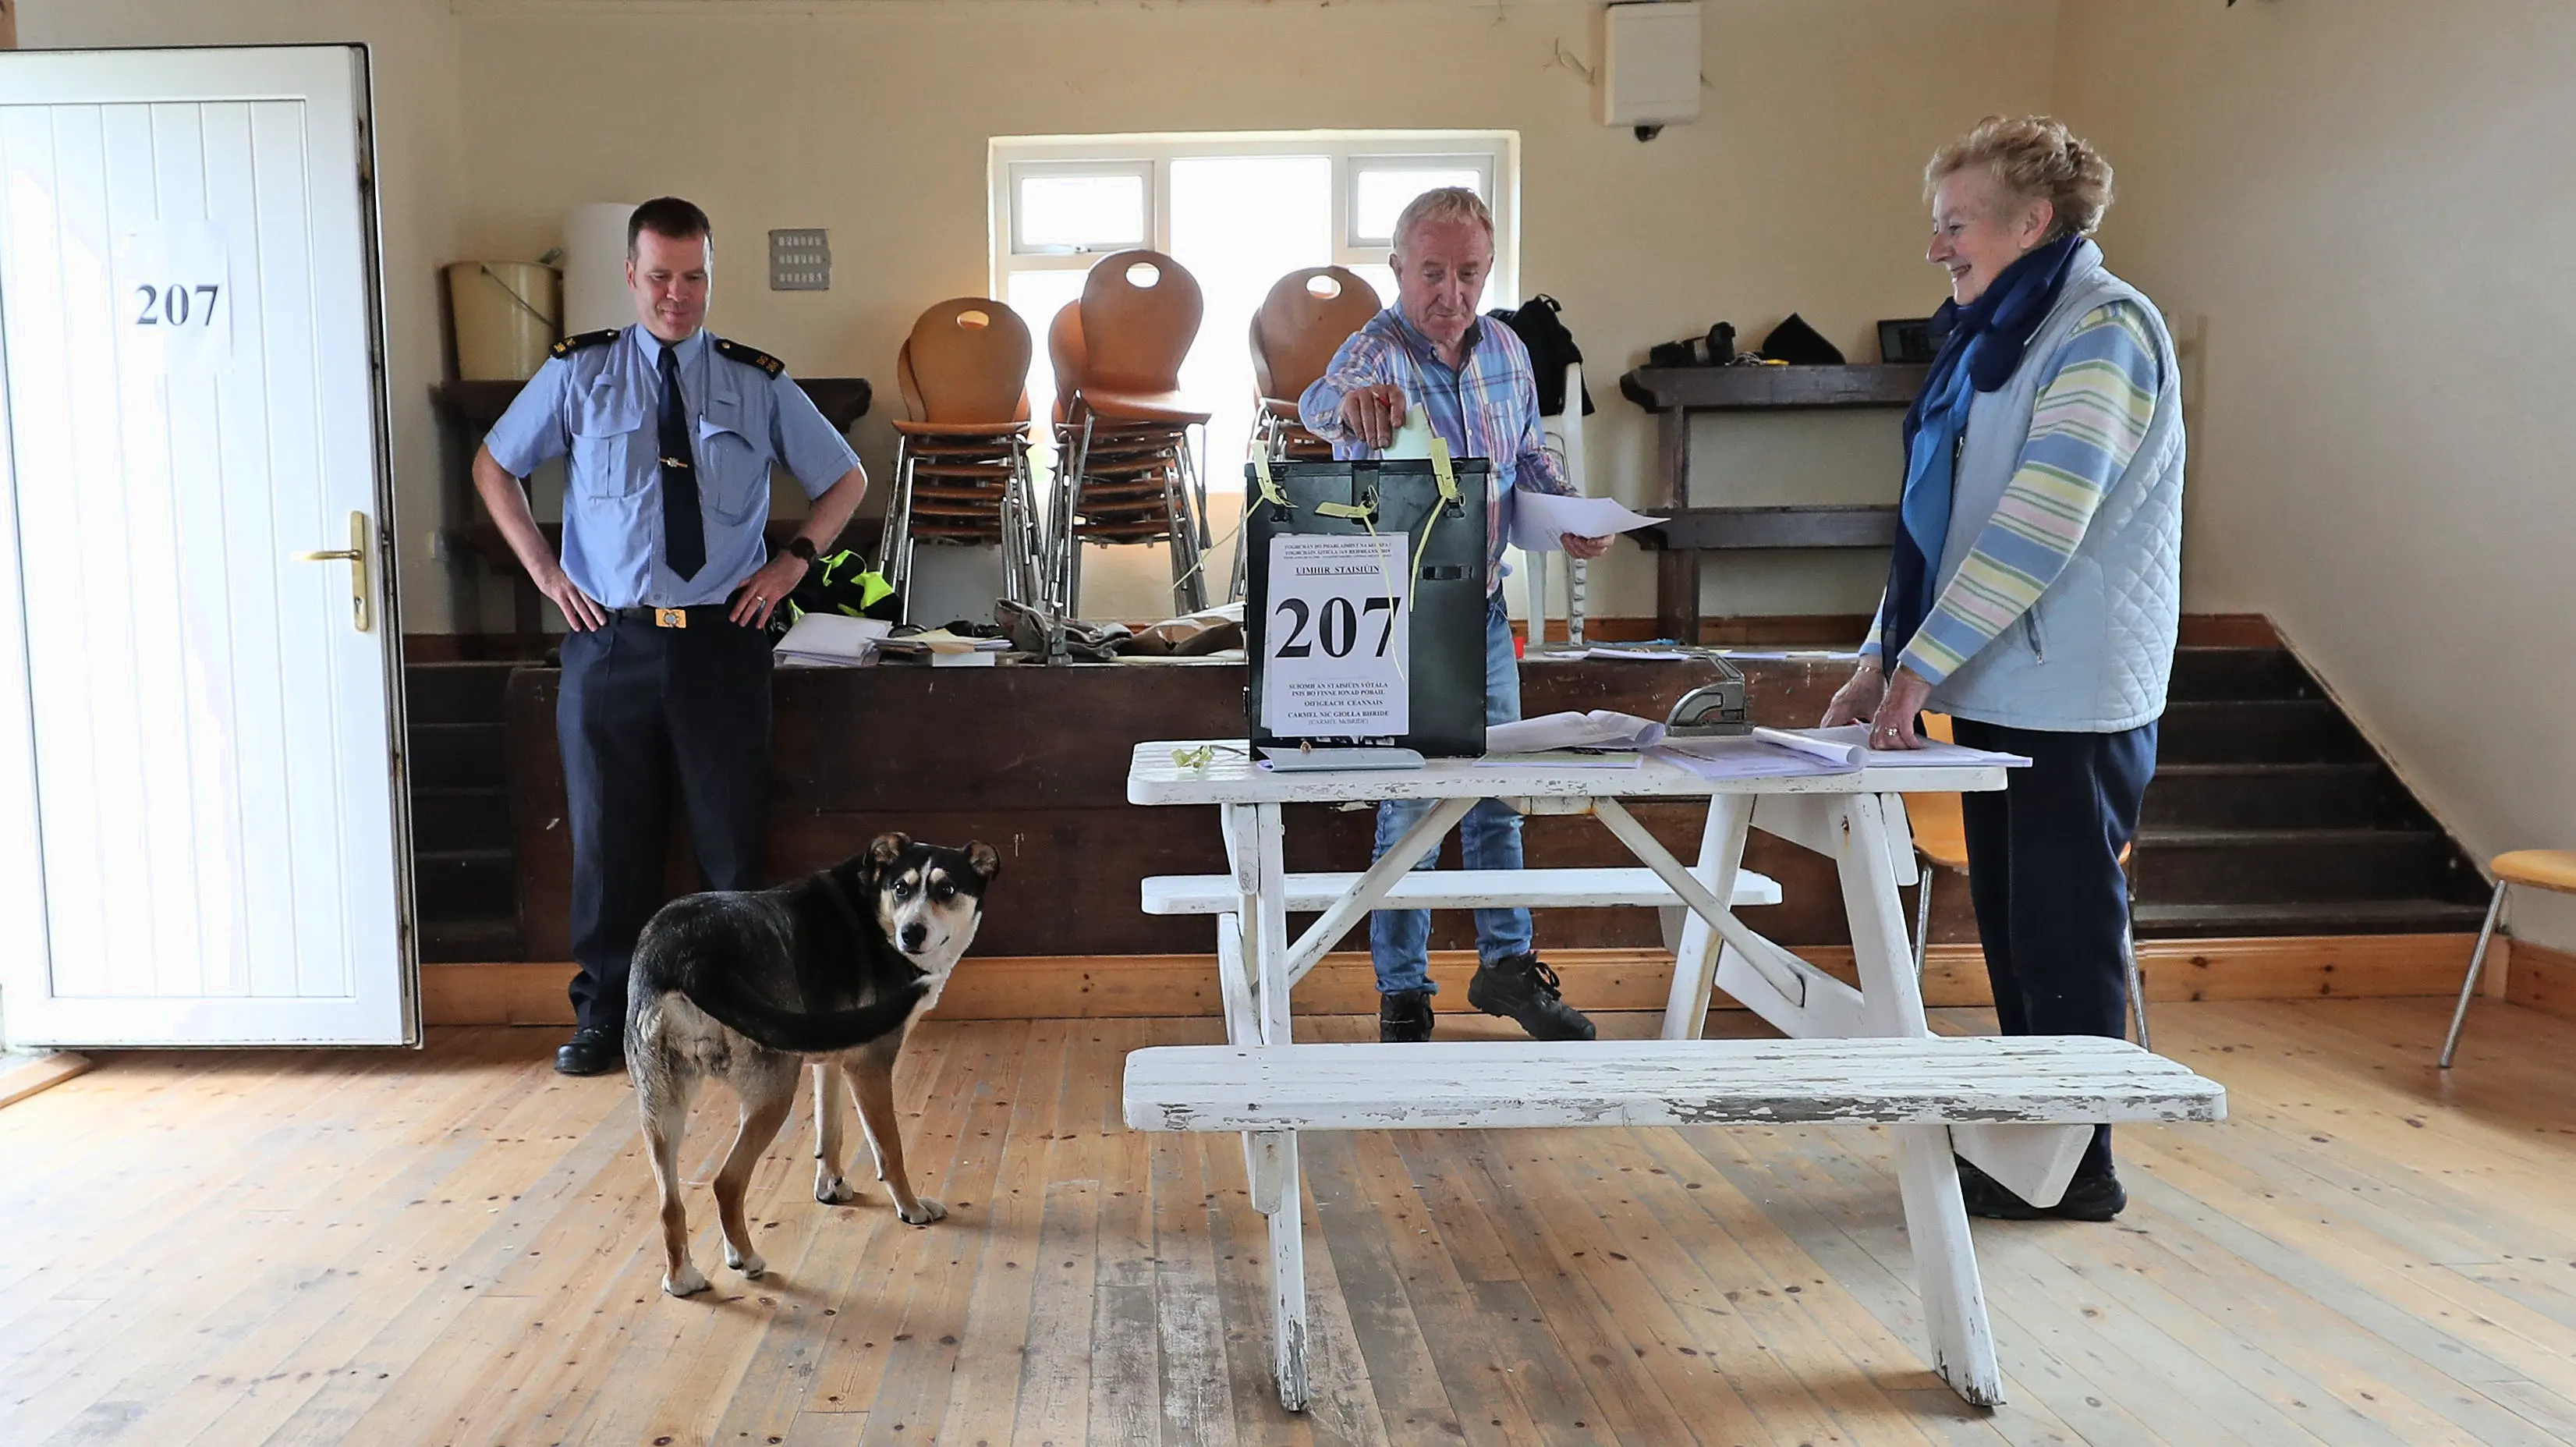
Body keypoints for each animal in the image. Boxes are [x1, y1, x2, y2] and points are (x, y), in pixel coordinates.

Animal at [618, 828, 999, 1287]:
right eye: (900, 888)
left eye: (947, 890)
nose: (912, 933)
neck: (875, 907)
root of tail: (688, 957)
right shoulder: (870, 1066)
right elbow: (889, 1148)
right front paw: (911, 1208)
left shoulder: (830, 1059)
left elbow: (829, 1131)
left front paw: (830, 1187)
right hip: (775, 1089)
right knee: (727, 1182)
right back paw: (745, 1258)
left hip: (661, 1105)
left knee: (668, 1204)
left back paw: (682, 1279)